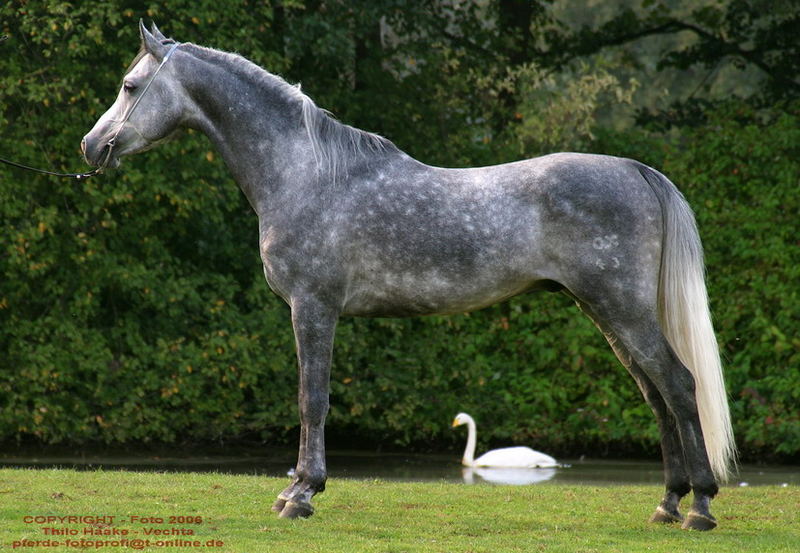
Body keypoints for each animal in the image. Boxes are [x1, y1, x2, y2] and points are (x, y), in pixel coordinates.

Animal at [83, 22, 736, 532]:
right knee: (656, 394)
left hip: (620, 306)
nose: (92, 146)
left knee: (678, 384)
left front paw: (301, 494)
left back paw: (699, 506)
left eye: (130, 87)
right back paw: (667, 503)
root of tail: (635, 170)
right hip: (605, 311)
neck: (305, 173)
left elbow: (311, 399)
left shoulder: (313, 307)